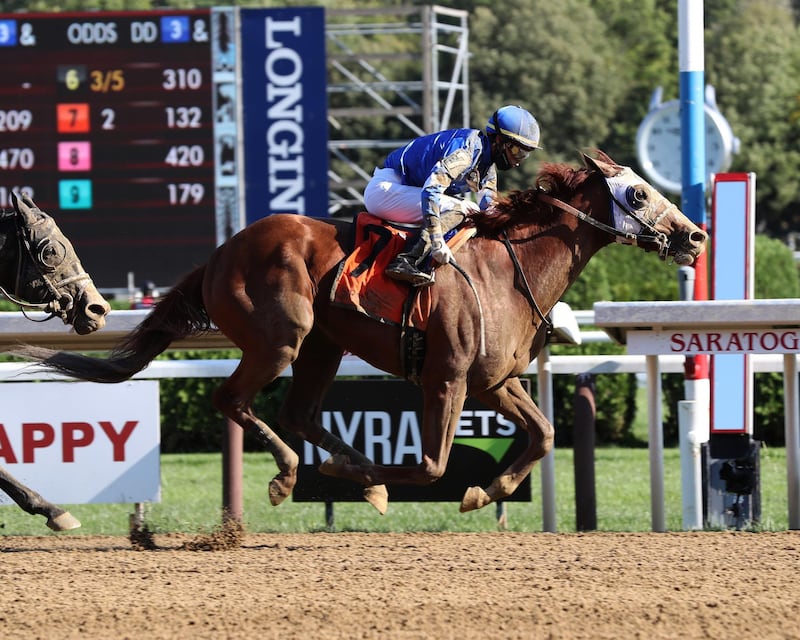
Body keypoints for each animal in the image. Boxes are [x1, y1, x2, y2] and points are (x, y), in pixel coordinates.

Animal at [14, 154, 708, 516]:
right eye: (637, 193)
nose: (696, 235)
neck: (507, 269)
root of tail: (218, 254)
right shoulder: (447, 378)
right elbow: (431, 465)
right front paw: (389, 481)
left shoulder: (495, 381)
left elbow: (543, 434)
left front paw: (485, 491)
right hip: (282, 338)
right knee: (234, 399)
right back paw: (293, 474)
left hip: (323, 345)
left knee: (296, 410)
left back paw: (349, 468)